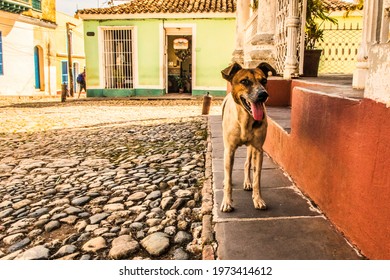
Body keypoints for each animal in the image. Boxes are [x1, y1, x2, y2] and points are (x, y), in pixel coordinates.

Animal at [219, 62, 278, 211]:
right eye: (244, 81)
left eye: (264, 81)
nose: (263, 94)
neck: (245, 119)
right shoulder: (229, 150)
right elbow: (229, 178)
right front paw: (226, 202)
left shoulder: (258, 149)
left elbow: (257, 178)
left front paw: (258, 199)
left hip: (251, 148)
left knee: (247, 163)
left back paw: (247, 182)